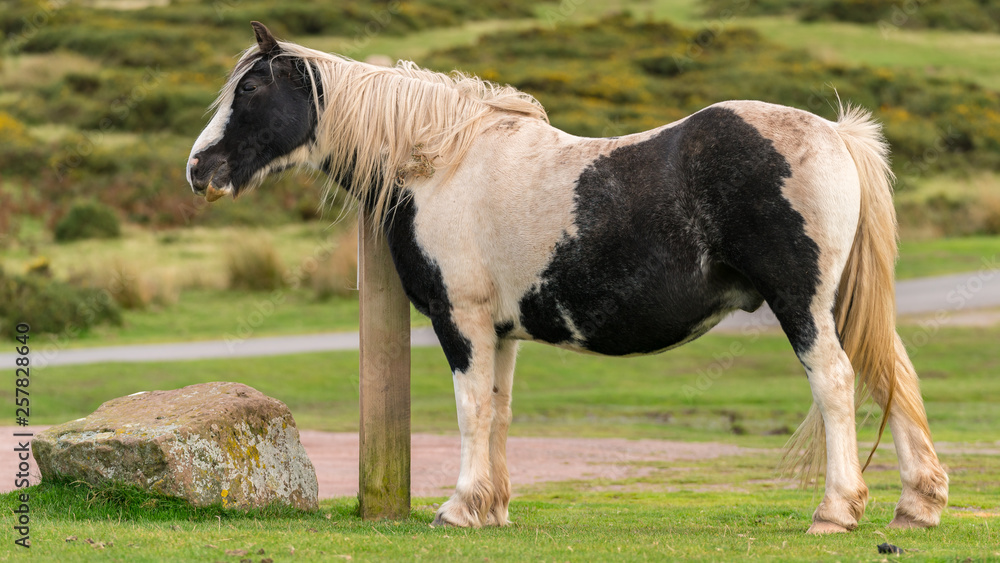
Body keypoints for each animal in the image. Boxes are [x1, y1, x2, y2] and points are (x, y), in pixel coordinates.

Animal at [187, 22, 948, 533]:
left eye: (249, 88)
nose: (199, 169)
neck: (440, 163)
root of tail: (835, 134)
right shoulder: (501, 330)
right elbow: (498, 411)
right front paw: (491, 507)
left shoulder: (461, 320)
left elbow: (470, 410)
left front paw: (458, 507)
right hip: (841, 303)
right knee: (891, 374)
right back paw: (918, 502)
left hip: (803, 306)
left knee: (838, 382)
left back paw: (837, 510)